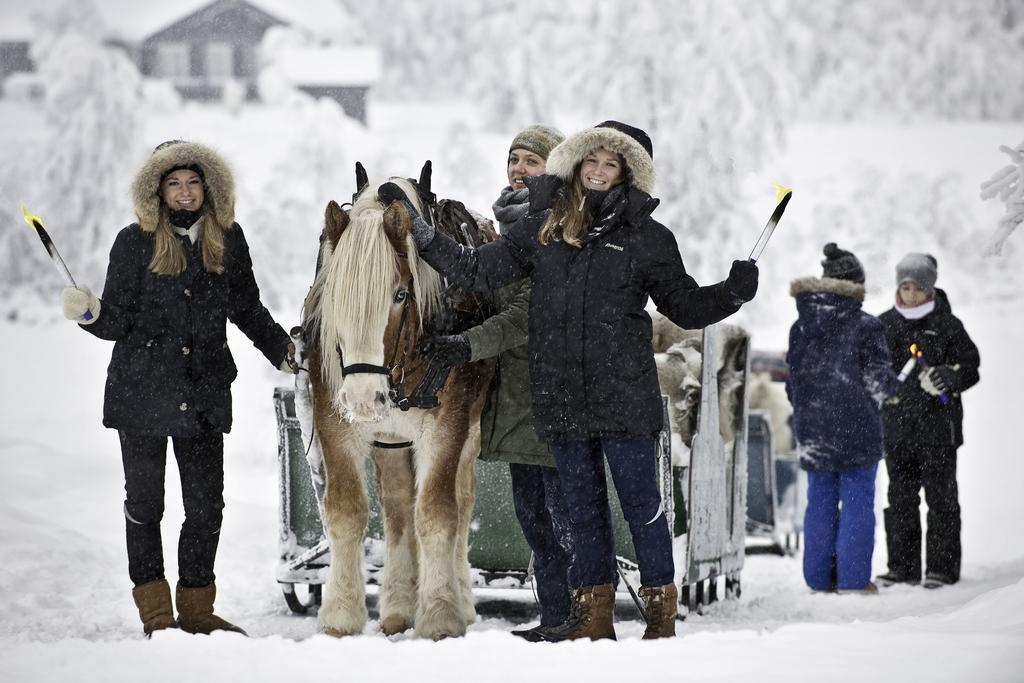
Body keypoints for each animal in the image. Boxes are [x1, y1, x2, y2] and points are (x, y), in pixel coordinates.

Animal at [301, 174, 493, 638]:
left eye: (401, 294)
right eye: (333, 297)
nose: (362, 396)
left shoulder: (448, 426)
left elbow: (439, 513)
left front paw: (440, 612)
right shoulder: (334, 420)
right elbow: (347, 512)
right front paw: (341, 613)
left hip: (470, 431)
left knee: (461, 502)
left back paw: (460, 597)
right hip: (390, 439)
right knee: (399, 507)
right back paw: (399, 605)